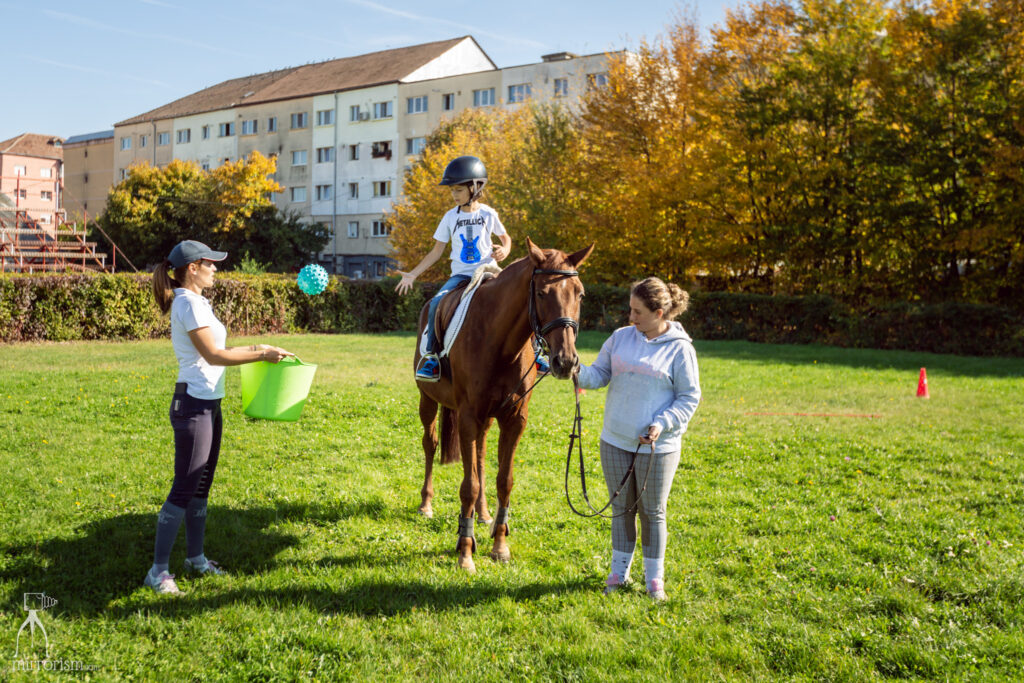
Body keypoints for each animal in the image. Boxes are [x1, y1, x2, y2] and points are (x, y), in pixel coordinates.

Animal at [413, 239, 593, 573]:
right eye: (541, 293)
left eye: (580, 293)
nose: (566, 361)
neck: (500, 342)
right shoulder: (468, 416)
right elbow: (468, 485)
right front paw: (466, 551)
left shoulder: (514, 419)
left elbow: (503, 481)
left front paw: (499, 545)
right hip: (428, 400)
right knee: (430, 445)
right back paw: (426, 504)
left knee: (481, 457)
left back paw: (483, 513)